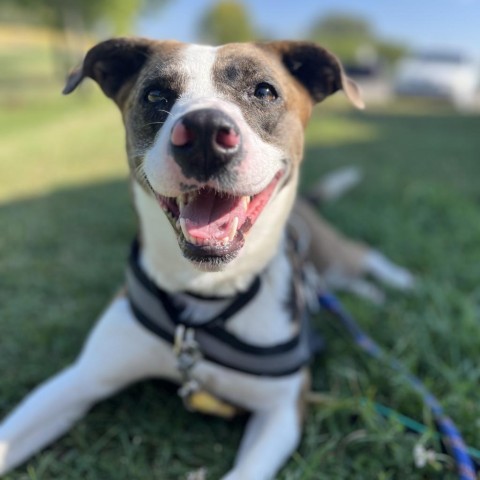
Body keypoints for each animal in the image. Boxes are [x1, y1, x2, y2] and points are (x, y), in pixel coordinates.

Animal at [0, 38, 412, 480]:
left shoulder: (283, 409)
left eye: (264, 91)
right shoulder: (80, 379)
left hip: (331, 250)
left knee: (363, 255)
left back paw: (401, 283)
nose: (204, 133)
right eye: (155, 95)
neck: (206, 291)